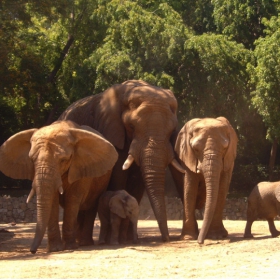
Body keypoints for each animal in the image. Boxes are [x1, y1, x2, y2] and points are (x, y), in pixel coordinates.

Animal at [0, 120, 117, 254]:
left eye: (63, 160)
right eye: (32, 160)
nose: (32, 251)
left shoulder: (81, 168)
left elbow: (73, 199)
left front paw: (70, 247)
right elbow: (53, 199)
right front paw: (55, 249)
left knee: (90, 207)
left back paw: (84, 243)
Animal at [58, 80, 185, 242]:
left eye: (172, 130)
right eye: (131, 126)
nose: (167, 239)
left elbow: (137, 184)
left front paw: (129, 239)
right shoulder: (111, 131)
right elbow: (118, 175)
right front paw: (120, 239)